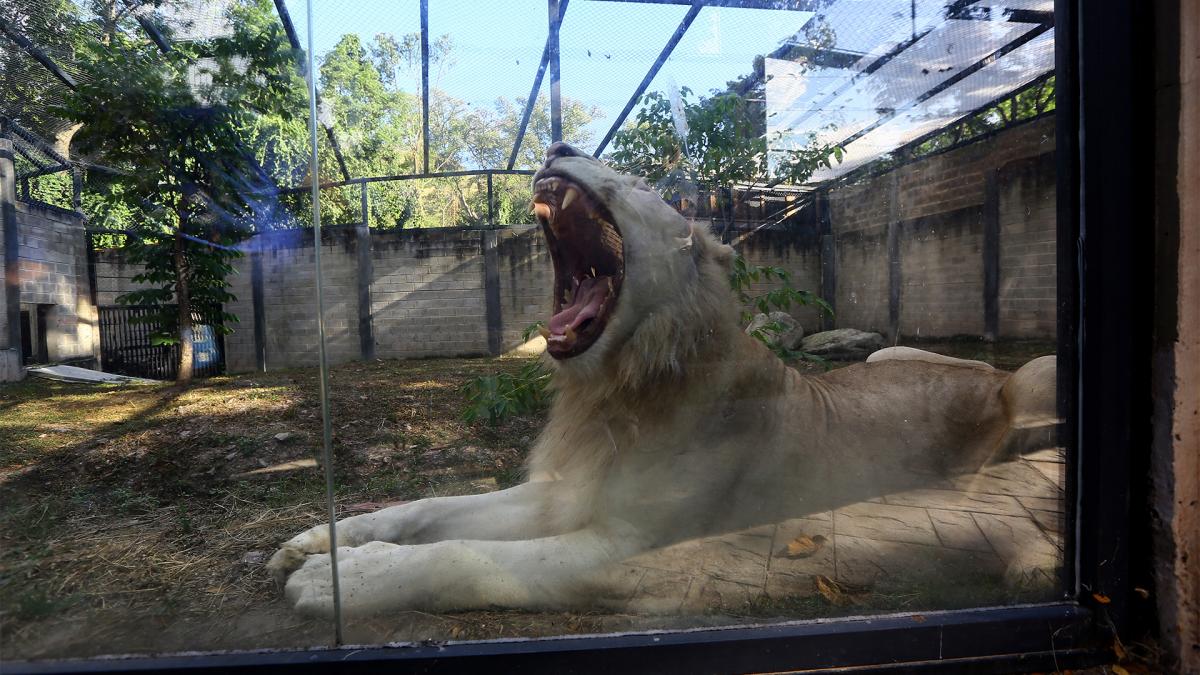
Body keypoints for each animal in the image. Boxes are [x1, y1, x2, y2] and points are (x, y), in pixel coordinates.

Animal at [267, 141, 1056, 614]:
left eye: (632, 177)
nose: (557, 146)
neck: (613, 389)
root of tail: (993, 382)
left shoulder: (628, 546)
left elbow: (463, 554)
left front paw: (341, 579)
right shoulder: (561, 491)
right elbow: (428, 509)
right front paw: (320, 541)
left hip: (1032, 379)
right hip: (888, 358)